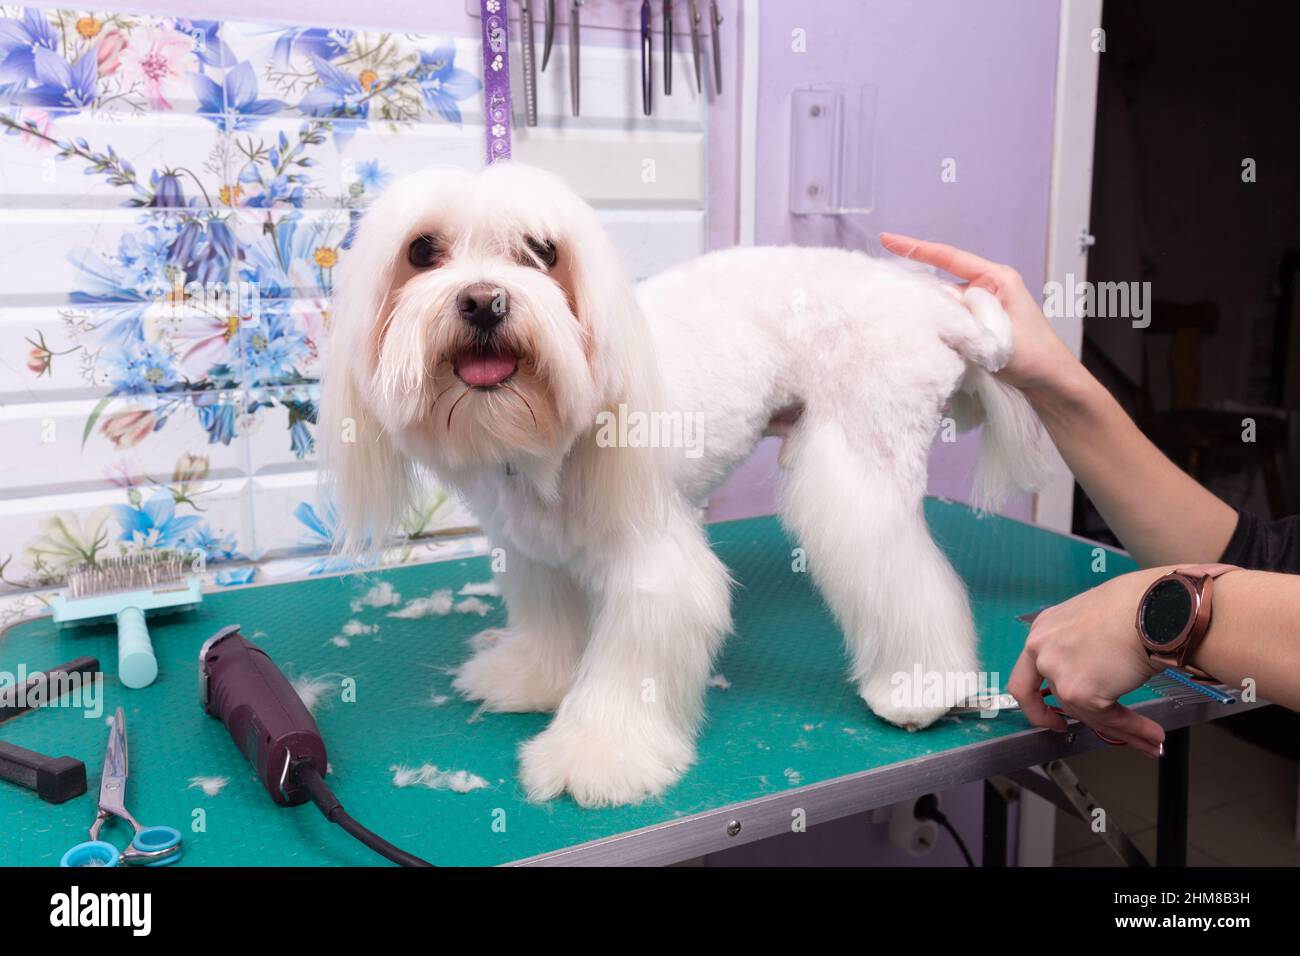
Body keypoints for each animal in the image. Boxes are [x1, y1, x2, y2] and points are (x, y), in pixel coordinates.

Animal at [319, 162, 1050, 806]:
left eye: (543, 252)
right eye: (421, 251)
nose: (483, 300)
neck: (544, 443)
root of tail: (930, 303)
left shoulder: (656, 564)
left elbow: (634, 660)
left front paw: (597, 756)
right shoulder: (533, 550)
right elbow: (549, 619)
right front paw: (534, 679)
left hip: (860, 456)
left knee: (901, 571)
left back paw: (920, 690)